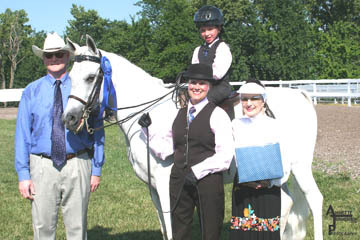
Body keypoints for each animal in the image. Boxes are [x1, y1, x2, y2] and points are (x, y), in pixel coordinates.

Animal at [62, 35, 324, 240]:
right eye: (70, 76)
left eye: (90, 77)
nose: (69, 119)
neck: (147, 117)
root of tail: (301, 95)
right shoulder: (153, 188)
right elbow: (164, 228)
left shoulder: (168, 185)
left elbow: (171, 227)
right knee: (287, 203)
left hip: (299, 167)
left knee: (314, 199)